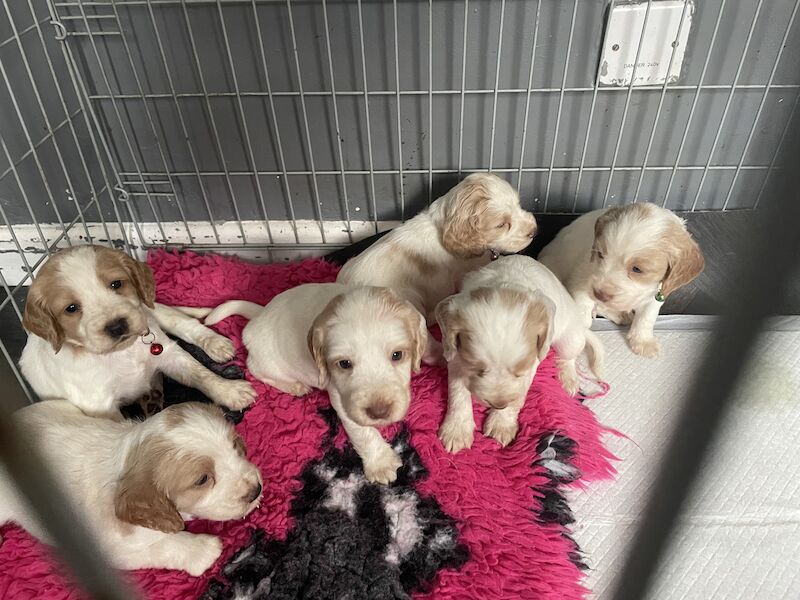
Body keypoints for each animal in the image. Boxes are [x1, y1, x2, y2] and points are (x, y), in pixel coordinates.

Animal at [0, 400, 262, 576]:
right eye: (202, 479)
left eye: (236, 447)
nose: (256, 491)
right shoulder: (110, 549)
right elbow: (164, 546)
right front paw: (203, 550)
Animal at [18, 246, 256, 420]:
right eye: (71, 308)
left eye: (116, 284)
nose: (117, 326)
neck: (120, 352)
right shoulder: (100, 406)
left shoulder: (168, 353)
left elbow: (201, 373)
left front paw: (231, 391)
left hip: (150, 310)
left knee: (185, 324)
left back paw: (216, 343)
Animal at [203, 284, 428, 486]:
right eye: (344, 363)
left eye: (397, 355)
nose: (379, 412)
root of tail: (259, 316)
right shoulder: (341, 397)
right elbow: (362, 431)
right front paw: (381, 463)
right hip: (269, 363)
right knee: (255, 369)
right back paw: (296, 386)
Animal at [434, 254, 604, 454]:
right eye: (478, 371)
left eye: (519, 372)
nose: (498, 404)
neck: (505, 283)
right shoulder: (455, 355)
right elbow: (458, 391)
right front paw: (457, 430)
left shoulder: (532, 362)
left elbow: (518, 395)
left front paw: (501, 423)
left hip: (570, 337)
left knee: (568, 356)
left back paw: (568, 378)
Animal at [540, 204, 704, 358]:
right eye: (600, 254)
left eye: (637, 269)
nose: (599, 294)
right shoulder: (582, 277)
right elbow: (582, 308)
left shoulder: (658, 292)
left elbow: (647, 316)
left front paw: (643, 341)